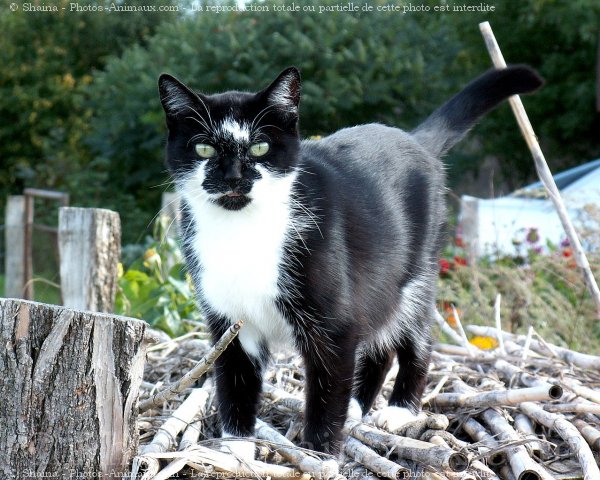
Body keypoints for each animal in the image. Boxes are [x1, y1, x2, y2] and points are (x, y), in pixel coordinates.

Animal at [157, 65, 540, 456]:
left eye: (260, 146)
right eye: (203, 148)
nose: (233, 177)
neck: (240, 233)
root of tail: (415, 140)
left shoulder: (334, 324)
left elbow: (328, 390)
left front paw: (319, 454)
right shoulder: (231, 325)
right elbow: (235, 388)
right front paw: (235, 451)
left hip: (418, 269)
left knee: (416, 336)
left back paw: (400, 410)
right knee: (380, 339)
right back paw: (357, 405)